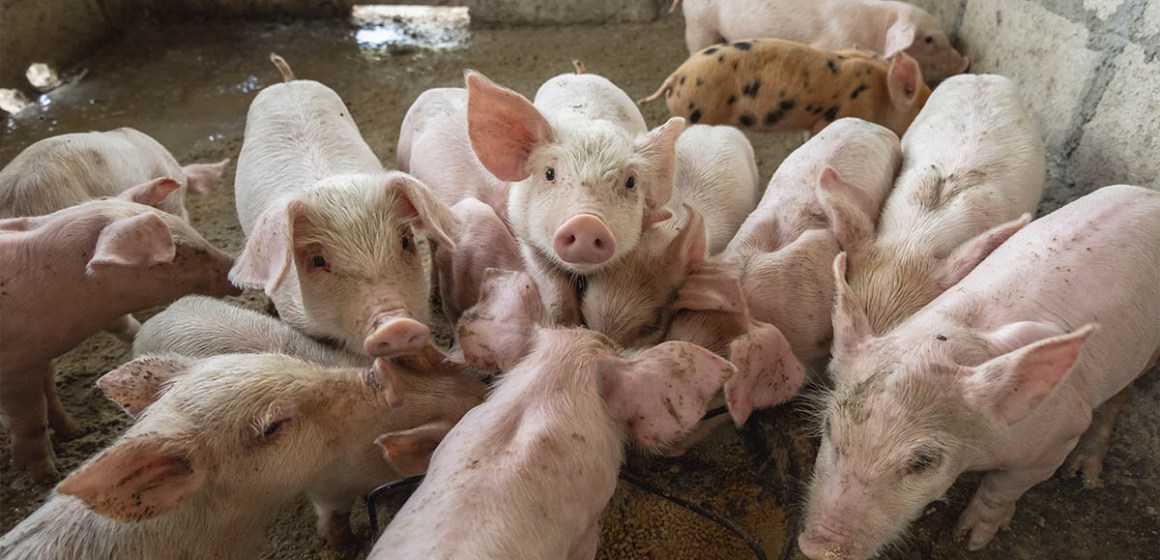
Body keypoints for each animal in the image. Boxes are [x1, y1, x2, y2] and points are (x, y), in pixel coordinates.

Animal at [0, 193, 239, 482]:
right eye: (178, 251)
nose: (235, 270)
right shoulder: (15, 368)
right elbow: (32, 419)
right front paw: (49, 476)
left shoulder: (41, 355)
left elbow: (51, 396)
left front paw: (78, 431)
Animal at [466, 71, 684, 324]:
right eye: (549, 173)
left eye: (630, 182)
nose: (586, 222)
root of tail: (580, 74)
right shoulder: (528, 241)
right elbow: (557, 297)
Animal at [798, 185, 1160, 559]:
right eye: (829, 426)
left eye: (923, 461)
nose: (819, 547)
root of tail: (1150, 194)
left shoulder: (1058, 437)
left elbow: (1003, 486)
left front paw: (969, 539)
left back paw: (1083, 474)